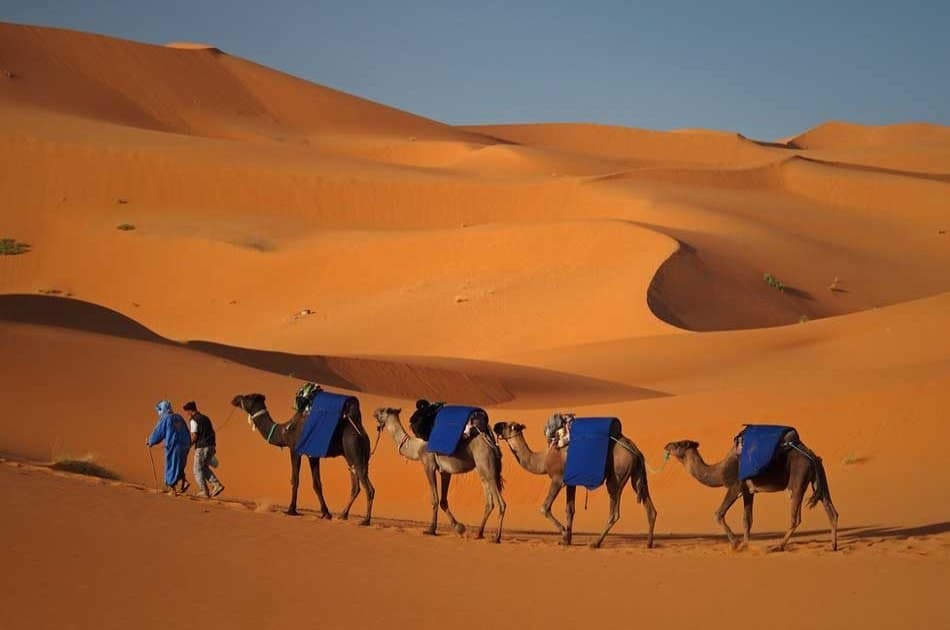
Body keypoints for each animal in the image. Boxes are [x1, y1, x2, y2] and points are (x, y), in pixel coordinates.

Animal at [231, 393, 375, 525]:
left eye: (248, 397)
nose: (235, 398)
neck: (284, 431)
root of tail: (362, 432)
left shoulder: (295, 450)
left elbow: (295, 479)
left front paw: (291, 510)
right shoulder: (313, 455)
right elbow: (317, 484)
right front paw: (326, 513)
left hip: (355, 451)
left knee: (368, 488)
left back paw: (365, 521)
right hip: (352, 457)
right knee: (356, 487)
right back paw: (343, 515)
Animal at [373, 407, 506, 542]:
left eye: (384, 411)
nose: (375, 412)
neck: (416, 447)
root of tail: (490, 439)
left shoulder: (428, 464)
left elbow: (435, 499)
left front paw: (431, 529)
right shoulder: (445, 471)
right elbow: (443, 500)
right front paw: (459, 528)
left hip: (485, 463)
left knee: (501, 503)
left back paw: (496, 537)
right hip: (482, 470)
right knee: (489, 502)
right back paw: (479, 533)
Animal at [493, 420, 657, 548]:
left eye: (509, 425)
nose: (496, 426)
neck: (543, 460)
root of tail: (635, 450)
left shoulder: (558, 479)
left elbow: (544, 508)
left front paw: (564, 534)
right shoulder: (571, 483)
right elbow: (570, 510)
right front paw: (567, 540)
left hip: (616, 475)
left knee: (614, 511)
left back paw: (596, 543)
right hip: (637, 475)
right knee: (650, 507)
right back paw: (648, 544)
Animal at [664, 431, 838, 551]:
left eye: (679, 444)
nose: (666, 445)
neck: (719, 472)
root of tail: (811, 456)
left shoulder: (735, 487)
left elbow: (718, 514)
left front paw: (736, 544)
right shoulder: (748, 492)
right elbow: (747, 520)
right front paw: (745, 545)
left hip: (797, 480)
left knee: (795, 517)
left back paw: (778, 546)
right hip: (819, 477)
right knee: (831, 509)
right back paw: (833, 546)